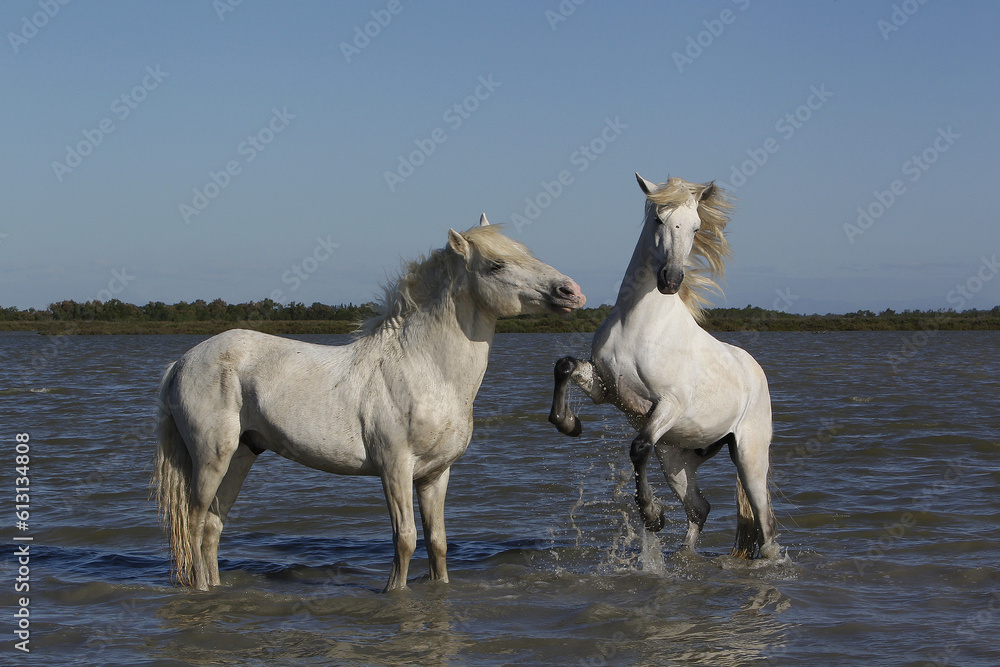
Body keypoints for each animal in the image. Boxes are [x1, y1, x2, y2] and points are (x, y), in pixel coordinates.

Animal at [152, 216, 586, 592]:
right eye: (497, 264)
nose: (572, 292)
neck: (426, 370)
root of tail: (182, 362)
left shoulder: (435, 474)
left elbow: (438, 542)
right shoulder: (394, 468)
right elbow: (405, 539)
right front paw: (393, 592)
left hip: (242, 454)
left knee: (212, 527)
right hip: (212, 458)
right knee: (193, 524)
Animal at [548, 174, 780, 560]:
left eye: (697, 226)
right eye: (658, 219)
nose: (671, 280)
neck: (638, 325)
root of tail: (754, 371)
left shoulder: (668, 405)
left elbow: (638, 448)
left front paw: (652, 516)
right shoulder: (604, 388)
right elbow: (564, 366)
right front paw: (568, 423)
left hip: (749, 455)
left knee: (764, 524)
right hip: (676, 458)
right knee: (699, 508)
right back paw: (682, 557)